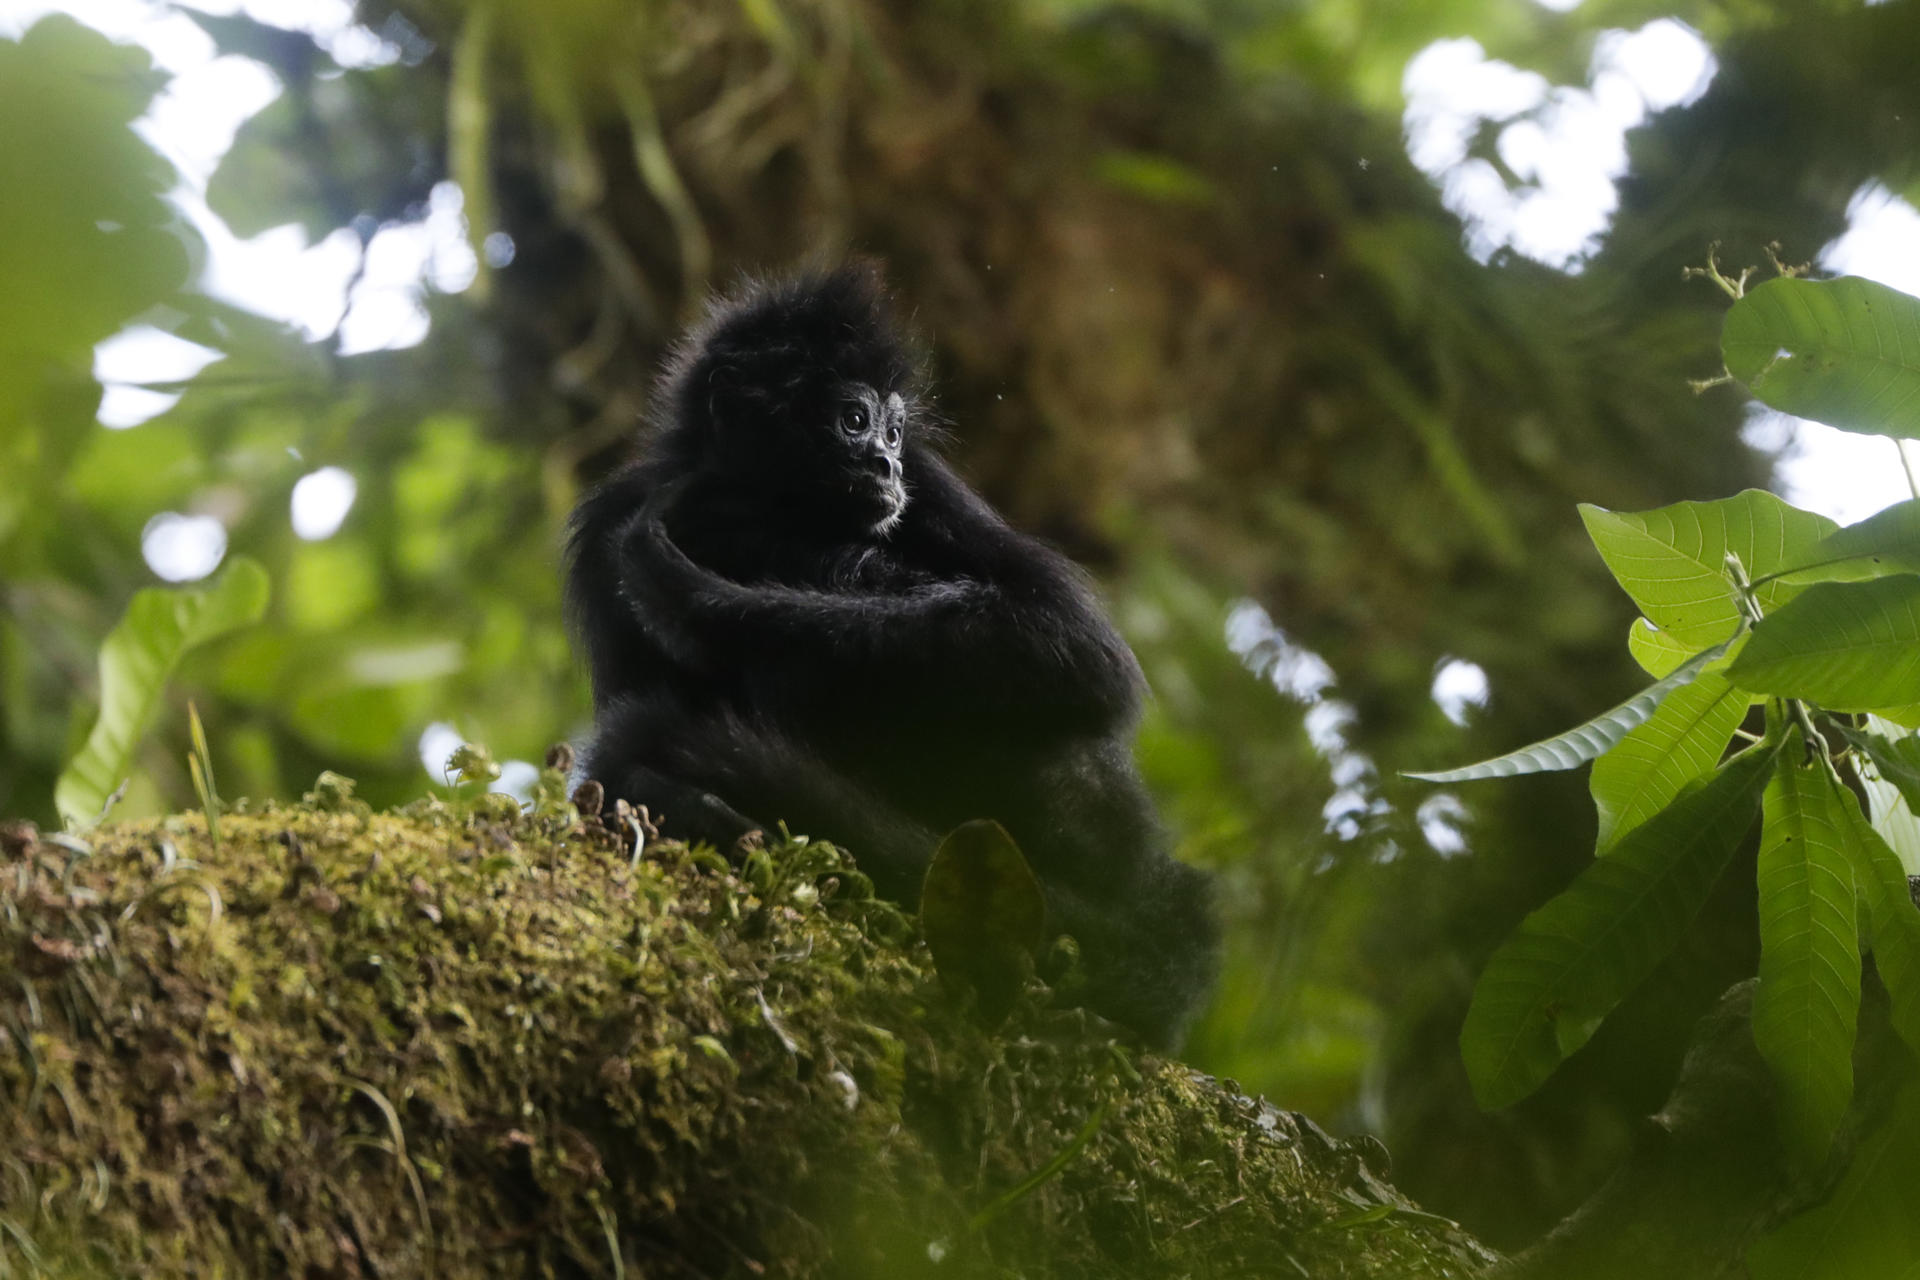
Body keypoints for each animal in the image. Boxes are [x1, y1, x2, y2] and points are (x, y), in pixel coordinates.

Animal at [564, 262, 1213, 1051]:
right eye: (853, 420)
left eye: (896, 430)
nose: (885, 462)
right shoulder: (608, 521)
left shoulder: (926, 481)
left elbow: (1078, 646)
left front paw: (694, 602)